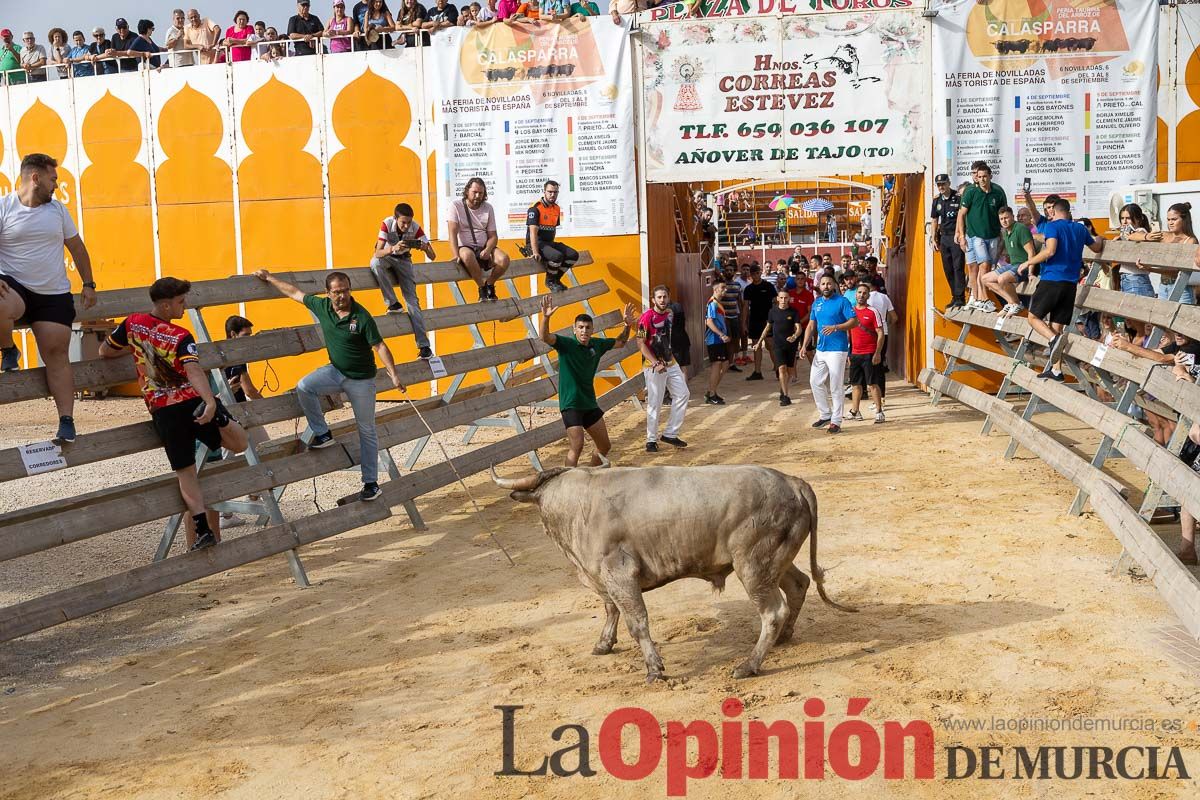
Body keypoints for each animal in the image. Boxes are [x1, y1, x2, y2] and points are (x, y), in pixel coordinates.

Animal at [489, 462, 854, 681]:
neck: (579, 505)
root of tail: (793, 482)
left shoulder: (620, 574)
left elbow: (637, 621)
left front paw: (654, 669)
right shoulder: (604, 579)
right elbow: (610, 610)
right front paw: (604, 644)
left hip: (753, 566)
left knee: (773, 611)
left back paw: (748, 665)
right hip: (776, 561)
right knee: (798, 585)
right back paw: (783, 639)